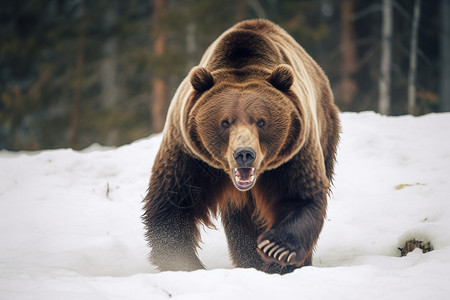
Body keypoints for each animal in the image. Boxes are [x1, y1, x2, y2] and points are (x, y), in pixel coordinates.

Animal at [142, 19, 340, 274]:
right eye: (225, 122)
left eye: (261, 121)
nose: (244, 154)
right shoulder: (190, 155)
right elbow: (172, 204)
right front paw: (184, 263)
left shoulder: (294, 153)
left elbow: (300, 196)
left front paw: (277, 249)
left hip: (325, 127)